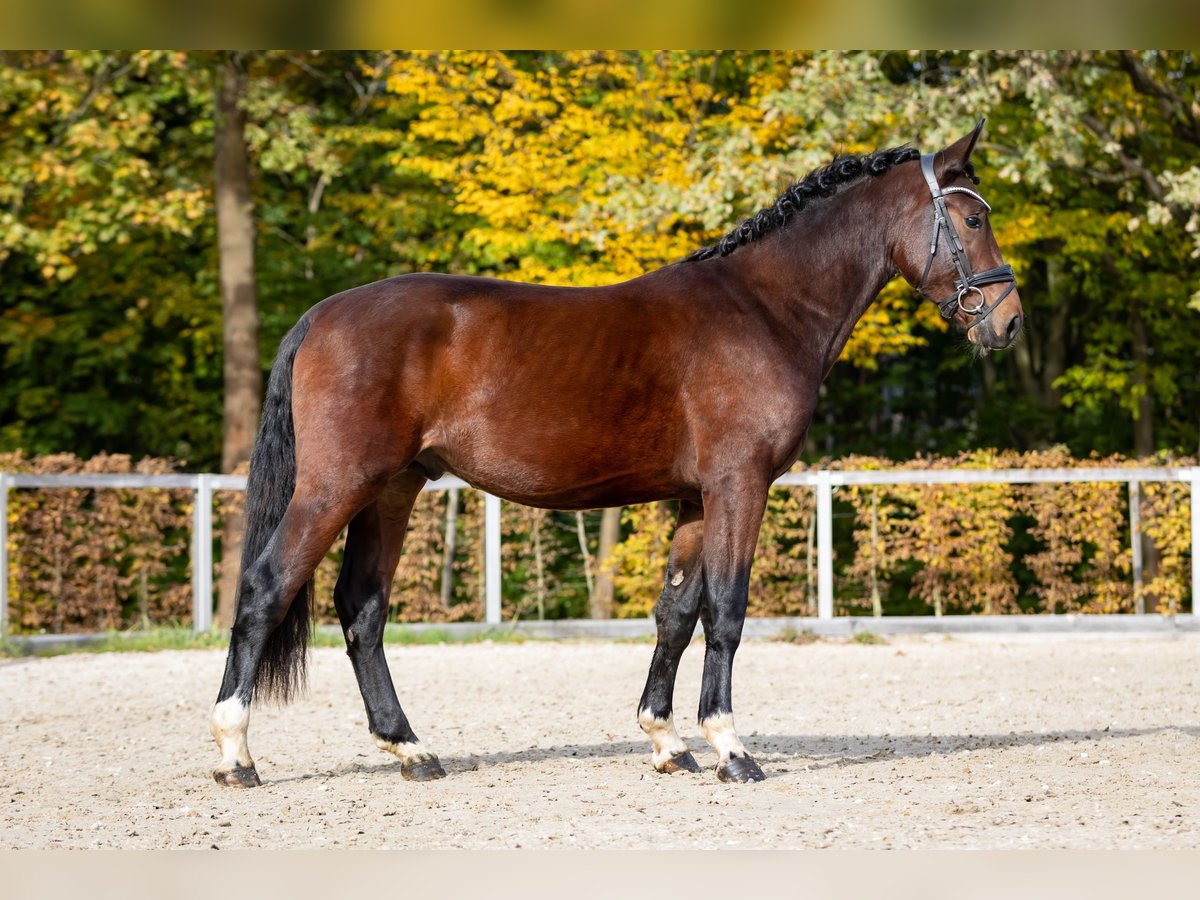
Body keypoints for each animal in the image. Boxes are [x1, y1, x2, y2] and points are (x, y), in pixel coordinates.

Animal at [211, 121, 1017, 787]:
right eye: (973, 218)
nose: (1006, 322)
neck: (764, 309)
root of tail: (320, 316)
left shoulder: (695, 498)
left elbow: (677, 613)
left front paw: (667, 741)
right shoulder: (739, 484)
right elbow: (727, 611)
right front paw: (730, 748)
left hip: (392, 489)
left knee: (363, 609)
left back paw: (411, 749)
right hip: (337, 486)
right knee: (264, 589)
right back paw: (236, 754)